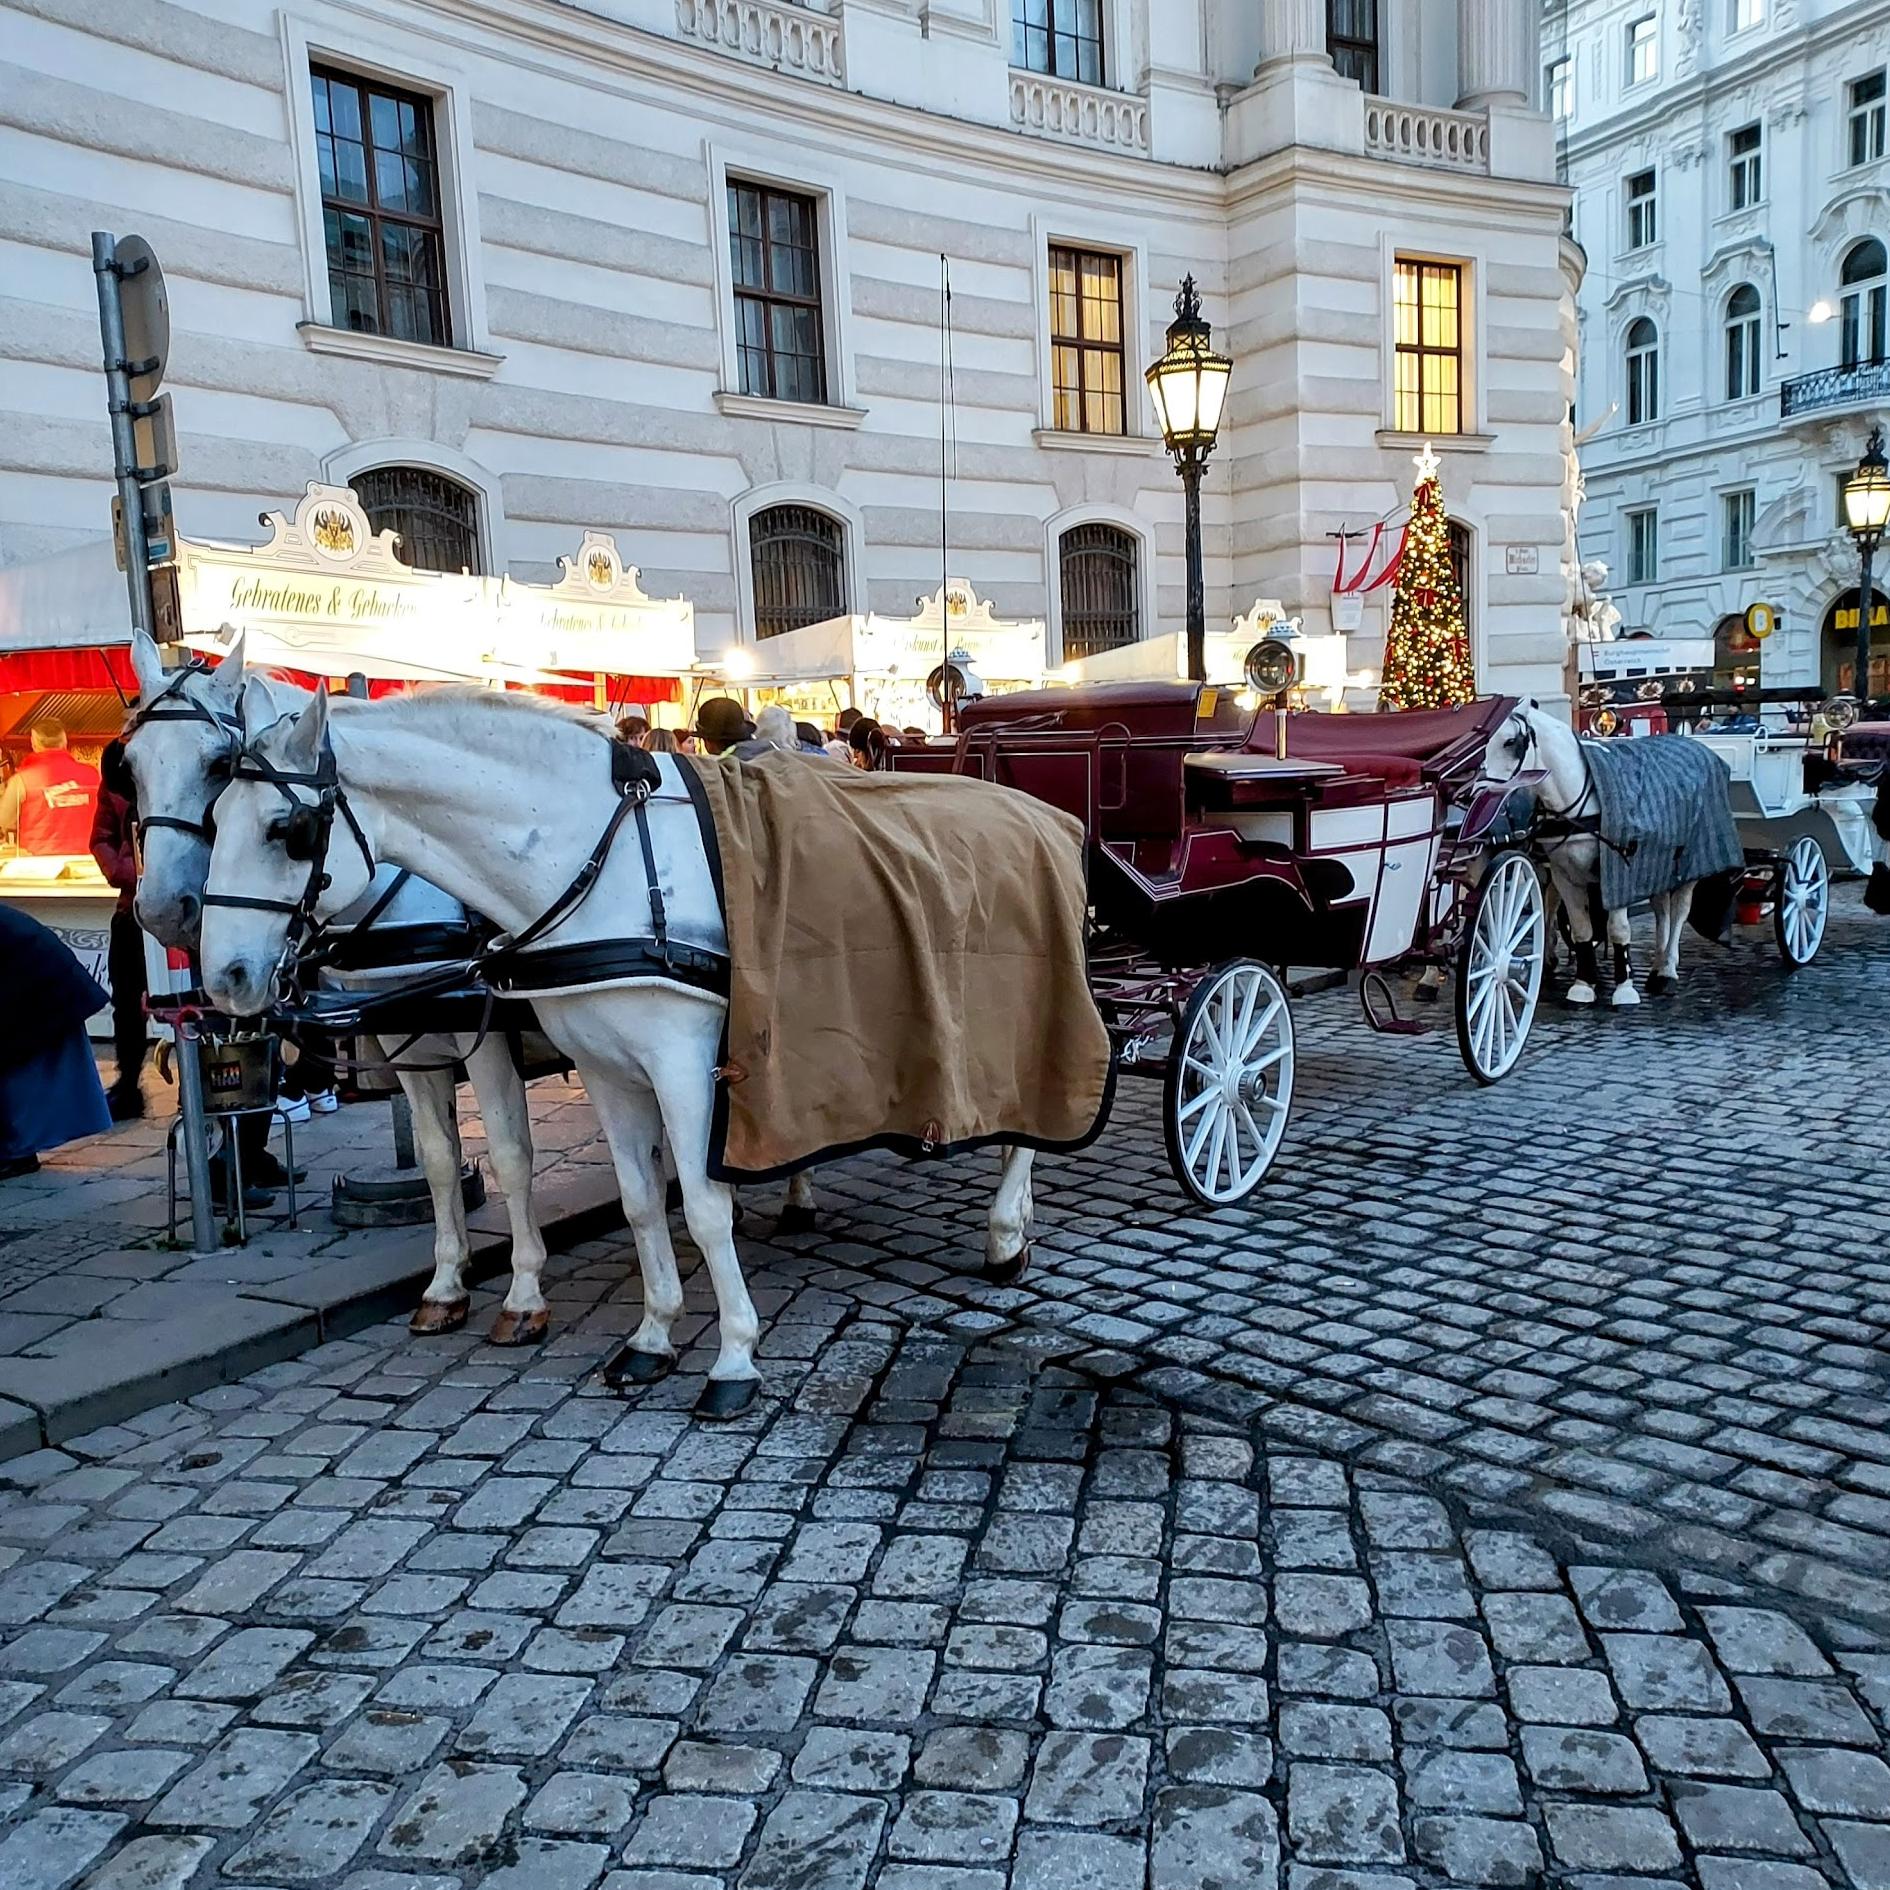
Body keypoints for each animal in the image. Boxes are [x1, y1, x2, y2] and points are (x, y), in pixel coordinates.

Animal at [121, 635, 551, 1345]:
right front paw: (446, 1284)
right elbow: (438, 1156)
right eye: (128, 767)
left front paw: (523, 1295)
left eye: (218, 765)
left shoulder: (483, 1035)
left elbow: (513, 1153)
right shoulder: (411, 1040)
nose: (159, 911)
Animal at [199, 680, 1043, 1421]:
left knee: (1026, 1114)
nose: (223, 976)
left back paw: (1005, 1231)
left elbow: (697, 1205)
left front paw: (733, 1358)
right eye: (212, 815)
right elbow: (630, 1199)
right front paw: (651, 1335)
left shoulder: (675, 1067)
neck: (593, 865)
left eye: (287, 831)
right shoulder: (592, 1069)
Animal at [1474, 706, 1701, 1005]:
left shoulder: (1619, 871)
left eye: (1511, 742)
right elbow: (1582, 928)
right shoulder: (1564, 873)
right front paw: (1583, 984)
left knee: (1679, 913)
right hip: (1656, 864)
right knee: (1661, 909)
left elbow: (1618, 928)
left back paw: (1668, 971)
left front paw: (1624, 988)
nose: (1477, 794)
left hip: (1688, 865)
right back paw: (1656, 967)